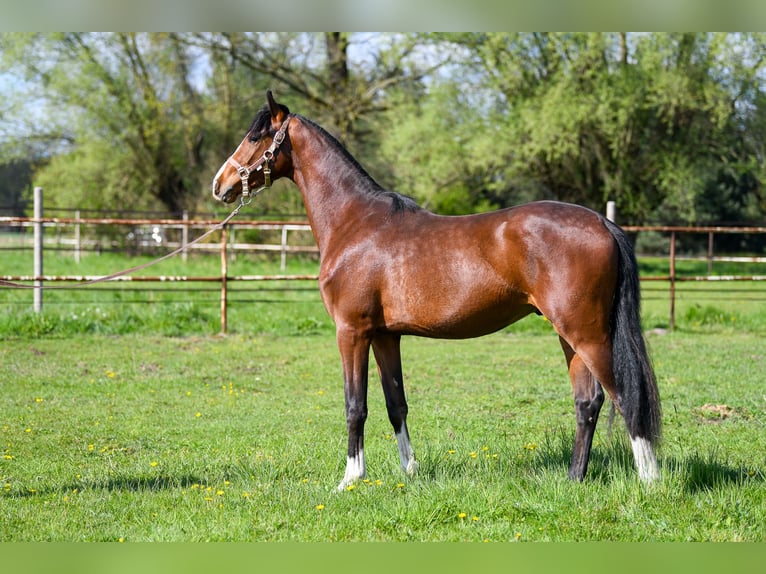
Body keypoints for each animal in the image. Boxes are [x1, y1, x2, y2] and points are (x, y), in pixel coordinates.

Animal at [213, 90, 664, 490]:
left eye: (254, 137)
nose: (220, 185)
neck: (355, 223)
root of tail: (601, 222)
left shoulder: (352, 332)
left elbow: (355, 406)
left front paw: (350, 479)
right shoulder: (385, 336)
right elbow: (395, 404)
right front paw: (410, 472)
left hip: (587, 334)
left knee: (625, 396)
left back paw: (650, 481)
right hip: (569, 335)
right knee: (587, 403)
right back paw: (574, 480)